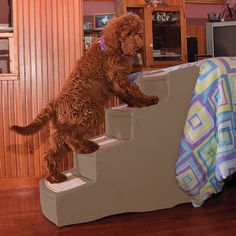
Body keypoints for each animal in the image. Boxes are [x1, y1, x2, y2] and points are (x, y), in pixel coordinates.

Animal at [10, 13, 159, 184]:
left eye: (139, 33)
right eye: (128, 33)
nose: (139, 48)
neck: (114, 48)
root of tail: (55, 103)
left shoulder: (117, 81)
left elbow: (127, 94)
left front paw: (134, 103)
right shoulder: (117, 77)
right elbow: (133, 91)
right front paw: (147, 100)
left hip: (58, 131)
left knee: (51, 153)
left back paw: (54, 176)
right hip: (89, 114)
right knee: (70, 137)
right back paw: (86, 147)